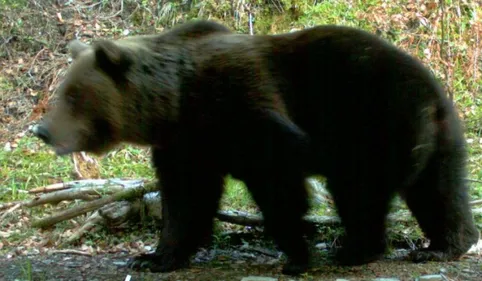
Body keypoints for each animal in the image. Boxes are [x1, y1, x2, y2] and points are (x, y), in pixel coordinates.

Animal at [32, 19, 480, 274]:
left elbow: (278, 185)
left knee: (360, 191)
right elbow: (186, 198)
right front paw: (153, 257)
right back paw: (443, 246)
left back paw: (356, 249)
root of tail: (431, 94)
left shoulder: (243, 111)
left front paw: (296, 255)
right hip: (441, 136)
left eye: (71, 95)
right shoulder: (186, 142)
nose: (42, 130)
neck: (175, 101)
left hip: (373, 121)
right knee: (441, 192)